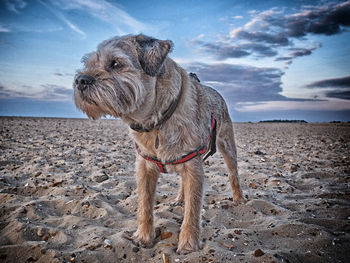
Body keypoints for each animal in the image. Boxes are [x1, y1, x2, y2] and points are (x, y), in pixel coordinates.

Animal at [73, 34, 245, 253]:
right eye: (89, 64)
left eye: (115, 63)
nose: (80, 80)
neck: (156, 122)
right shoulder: (145, 167)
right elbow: (145, 205)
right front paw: (144, 236)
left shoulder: (193, 166)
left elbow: (193, 208)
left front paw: (188, 242)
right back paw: (180, 198)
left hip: (227, 146)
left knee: (233, 174)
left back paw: (238, 198)